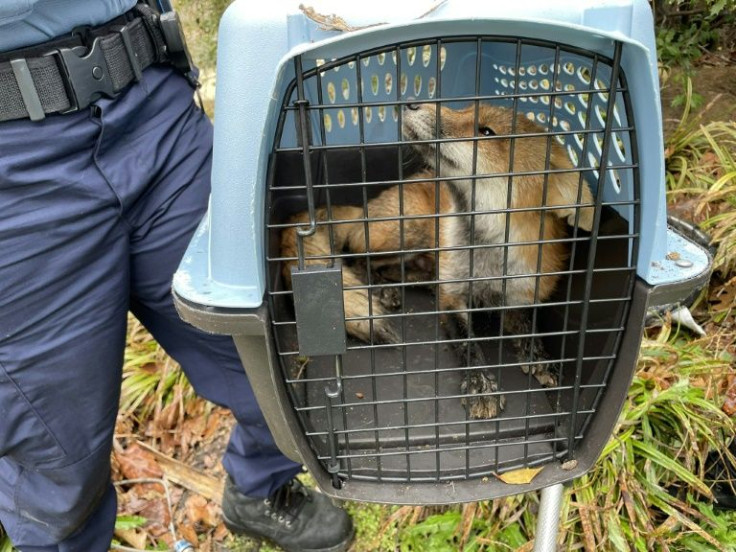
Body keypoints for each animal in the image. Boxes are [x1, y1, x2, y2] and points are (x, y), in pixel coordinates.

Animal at [278, 101, 596, 416]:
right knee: (356, 257)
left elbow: (529, 327)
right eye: (464, 109)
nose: (412, 103)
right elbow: (468, 342)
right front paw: (480, 384)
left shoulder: (522, 292)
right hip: (408, 229)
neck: (487, 258)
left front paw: (540, 357)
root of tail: (365, 208)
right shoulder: (452, 296)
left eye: (486, 131)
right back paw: (382, 289)